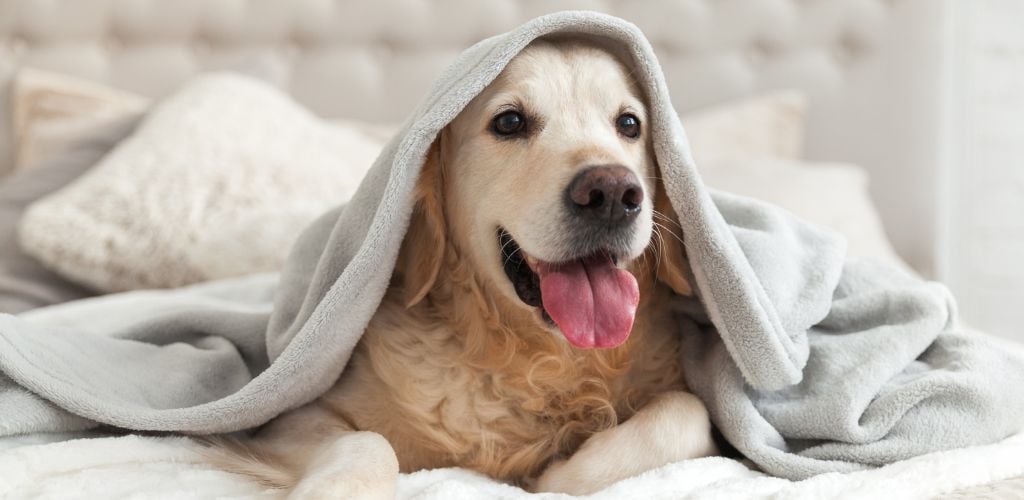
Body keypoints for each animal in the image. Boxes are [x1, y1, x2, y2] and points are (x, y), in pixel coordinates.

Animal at [210, 37, 716, 497]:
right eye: (510, 121)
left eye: (629, 124)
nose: (611, 193)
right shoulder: (288, 420)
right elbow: (367, 441)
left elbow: (688, 412)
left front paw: (561, 473)